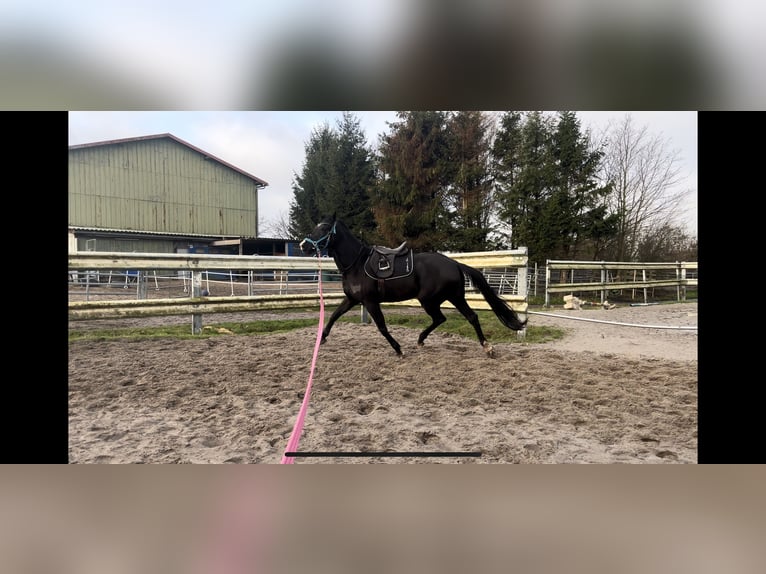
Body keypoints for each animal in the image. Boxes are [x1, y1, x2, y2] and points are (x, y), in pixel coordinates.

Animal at [300, 216, 528, 360]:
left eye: (324, 228)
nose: (304, 245)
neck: (357, 263)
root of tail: (454, 263)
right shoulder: (352, 299)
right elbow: (333, 316)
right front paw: (322, 339)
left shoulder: (371, 302)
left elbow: (382, 327)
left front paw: (398, 350)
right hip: (453, 297)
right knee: (467, 317)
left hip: (429, 300)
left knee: (444, 318)